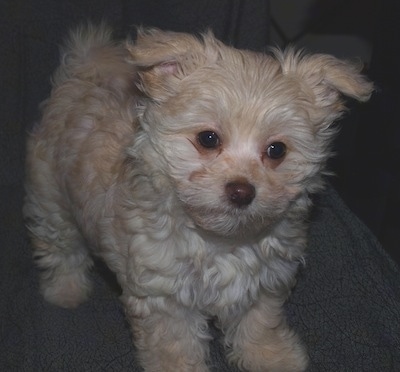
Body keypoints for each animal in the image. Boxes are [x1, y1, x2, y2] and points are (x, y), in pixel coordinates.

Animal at [23, 24, 374, 370]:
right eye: (208, 139)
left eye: (277, 150)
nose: (241, 191)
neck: (222, 243)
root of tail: (80, 76)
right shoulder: (165, 297)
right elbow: (175, 344)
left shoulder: (261, 284)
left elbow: (258, 324)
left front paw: (273, 357)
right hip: (51, 197)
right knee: (61, 248)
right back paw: (65, 291)